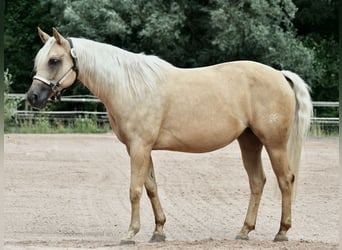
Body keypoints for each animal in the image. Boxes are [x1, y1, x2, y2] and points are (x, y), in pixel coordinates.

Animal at [27, 27, 312, 244]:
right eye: (39, 61)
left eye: (54, 60)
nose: (33, 97)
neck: (130, 86)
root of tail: (280, 75)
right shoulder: (141, 149)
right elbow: (151, 188)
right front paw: (158, 231)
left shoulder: (139, 147)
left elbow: (135, 190)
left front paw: (130, 234)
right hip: (249, 142)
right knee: (257, 182)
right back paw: (244, 231)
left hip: (275, 144)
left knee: (285, 181)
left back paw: (282, 232)